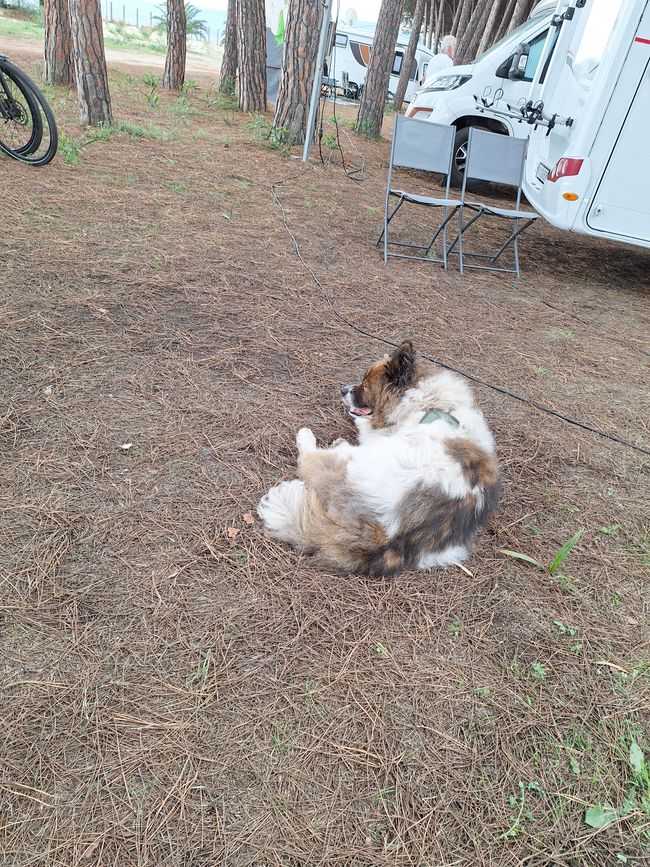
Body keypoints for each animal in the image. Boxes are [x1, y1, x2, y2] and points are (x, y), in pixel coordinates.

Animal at [256, 340, 498, 576]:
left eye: (365, 385)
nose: (342, 390)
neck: (431, 403)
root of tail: (383, 536)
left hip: (353, 462)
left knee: (309, 458)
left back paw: (309, 437)